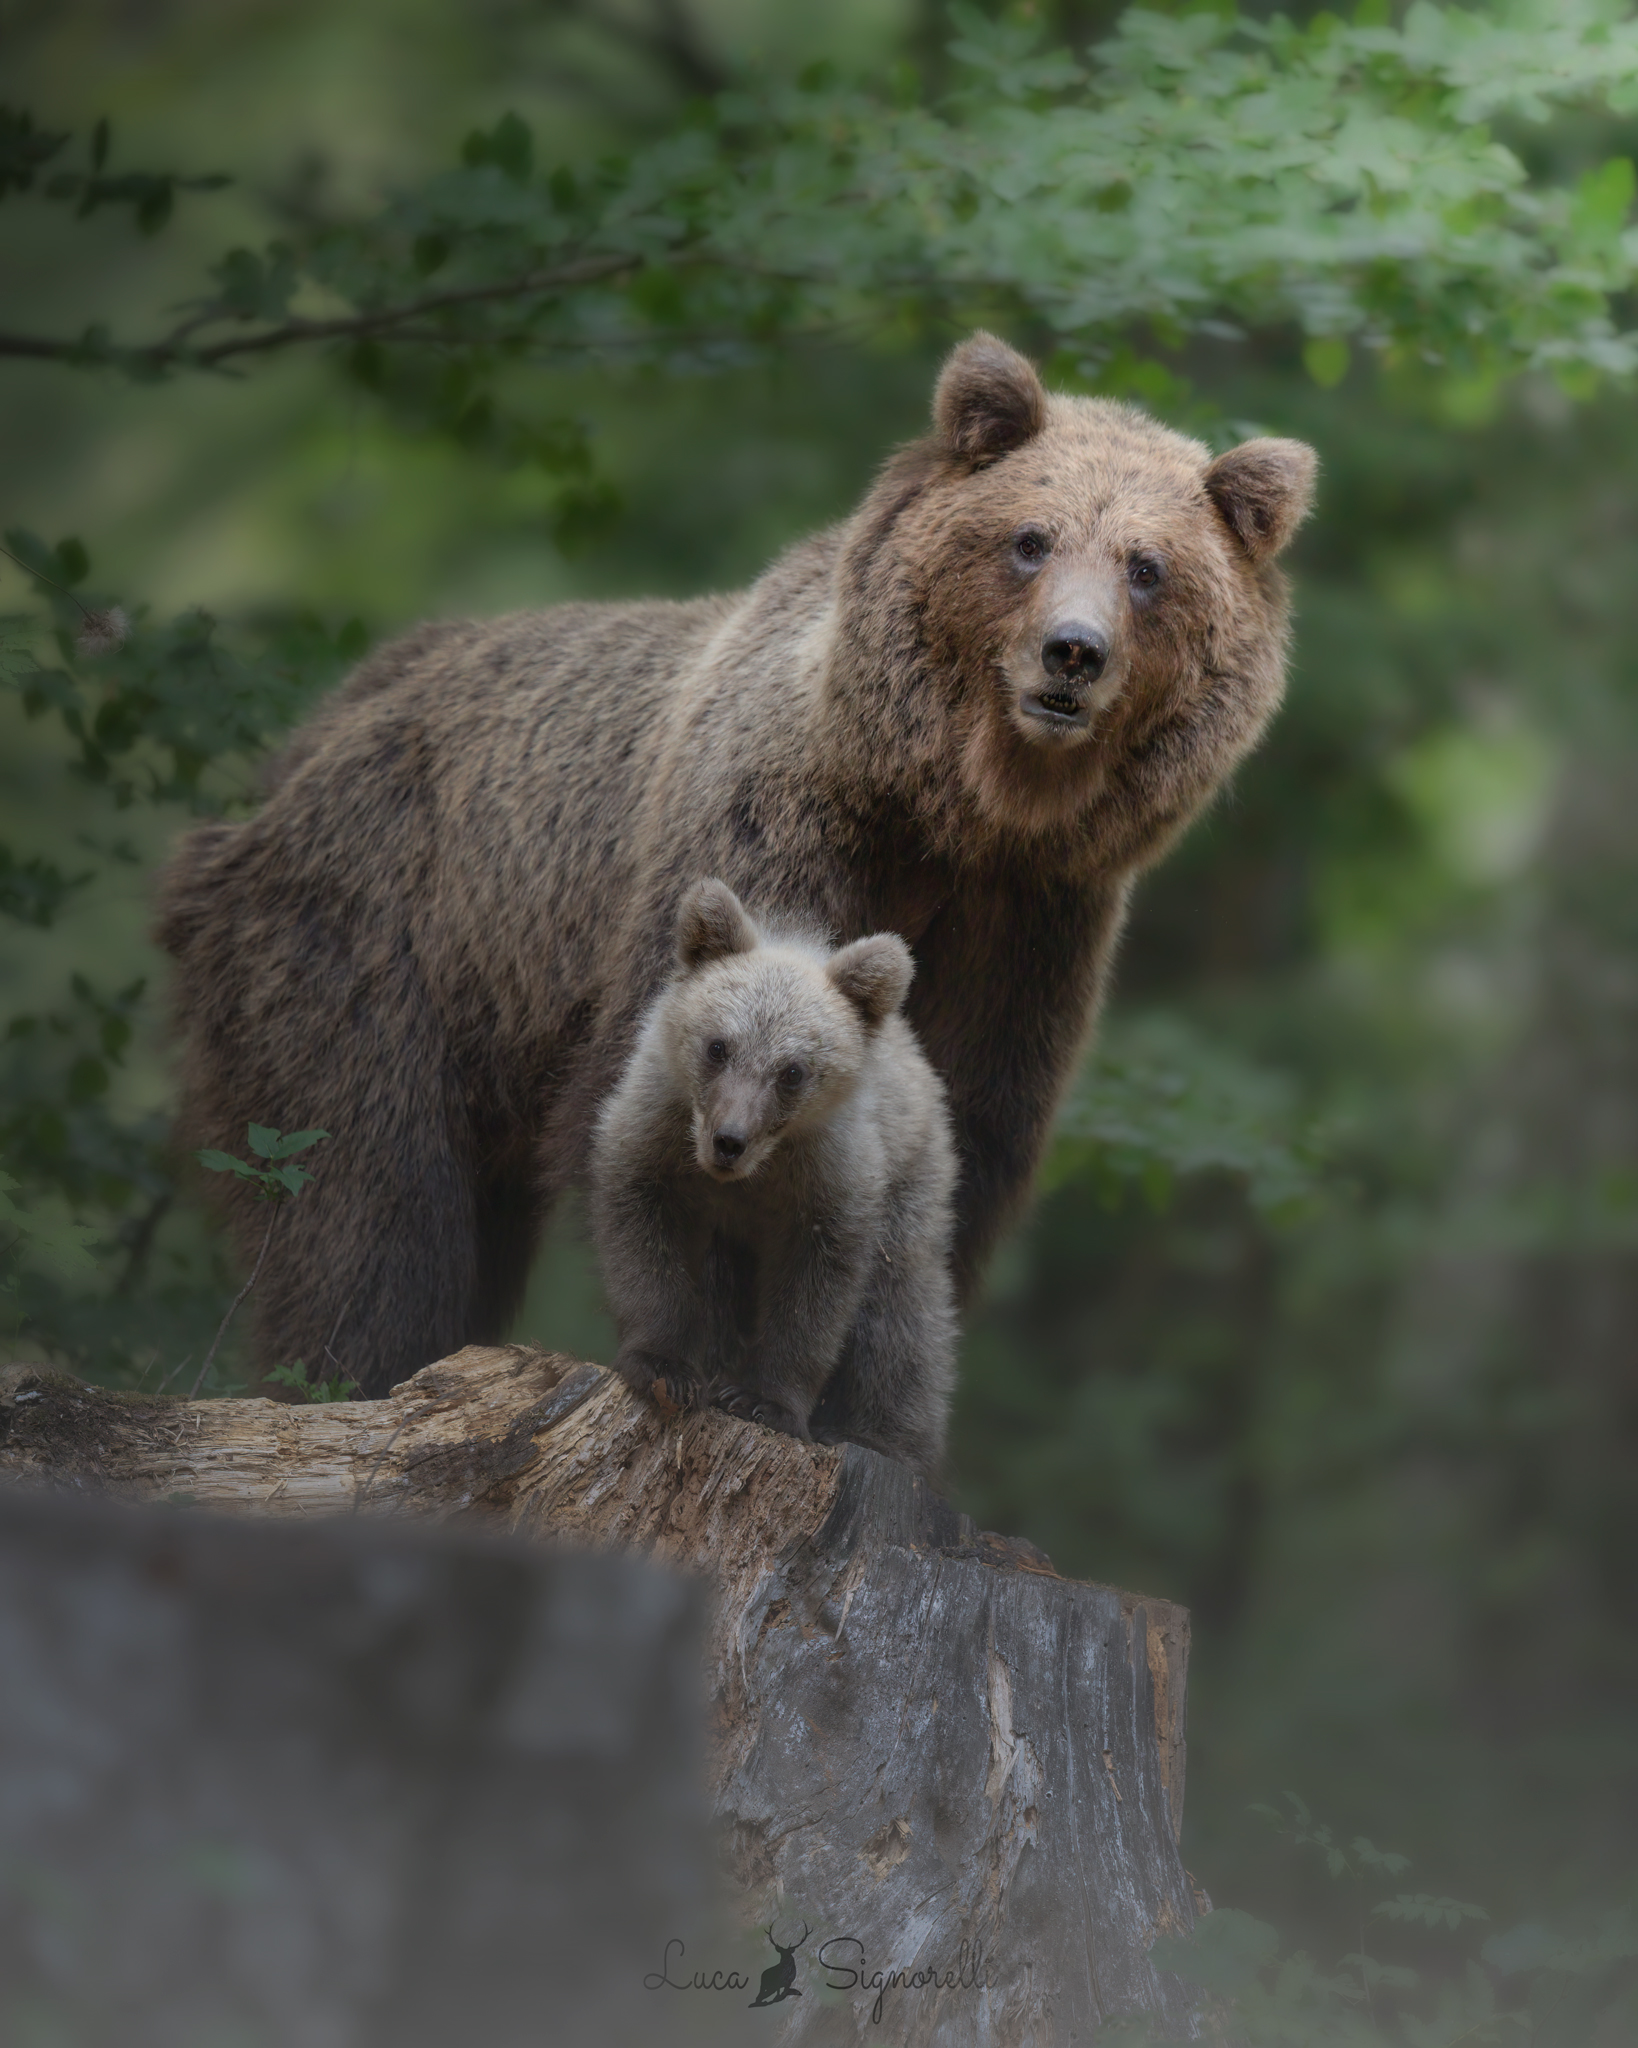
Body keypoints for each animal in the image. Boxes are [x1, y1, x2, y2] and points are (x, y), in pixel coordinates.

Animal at [155, 331, 1315, 1400]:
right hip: (375, 939)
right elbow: (669, 1122)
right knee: (365, 1201)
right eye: (1030, 539)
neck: (951, 813)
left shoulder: (1030, 928)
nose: (1072, 653)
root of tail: (293, 754)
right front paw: (710, 1363)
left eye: (1147, 568)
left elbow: (958, 1157)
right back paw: (350, 1374)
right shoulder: (769, 843)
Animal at [590, 877, 957, 1475]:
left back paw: (888, 1440)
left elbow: (816, 1296)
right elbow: (645, 1245)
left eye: (792, 1072)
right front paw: (666, 1367)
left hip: (913, 1182)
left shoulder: (832, 1181)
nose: (729, 1141)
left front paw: (765, 1401)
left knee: (902, 1311)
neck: (753, 1180)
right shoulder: (654, 1138)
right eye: (718, 1046)